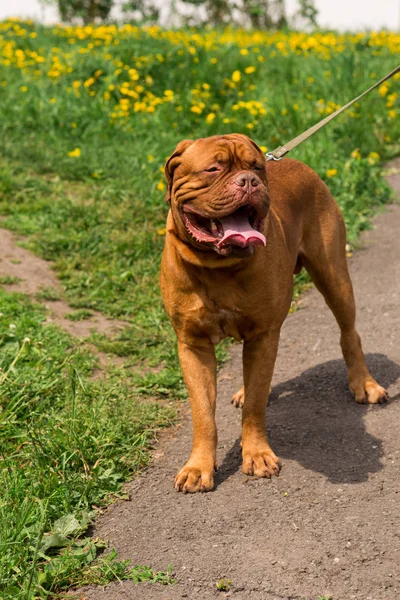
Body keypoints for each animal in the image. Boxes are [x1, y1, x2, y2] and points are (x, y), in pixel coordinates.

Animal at [160, 132, 388, 492]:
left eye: (255, 167)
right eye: (213, 169)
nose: (249, 181)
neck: (217, 267)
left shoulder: (264, 334)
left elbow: (255, 405)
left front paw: (256, 454)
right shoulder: (193, 346)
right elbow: (203, 414)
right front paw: (198, 467)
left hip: (333, 277)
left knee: (349, 333)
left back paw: (364, 384)